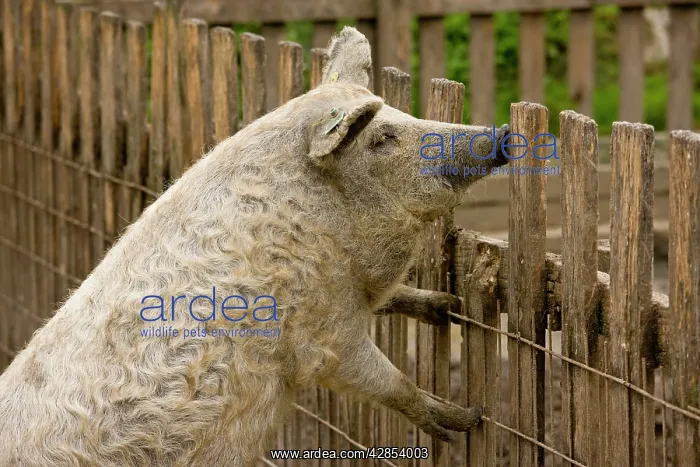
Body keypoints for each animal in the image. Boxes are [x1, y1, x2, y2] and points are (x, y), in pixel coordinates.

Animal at [0, 26, 510, 466]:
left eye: (400, 116)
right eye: (381, 138)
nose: (501, 135)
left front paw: (447, 305)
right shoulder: (321, 333)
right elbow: (385, 380)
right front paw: (465, 421)